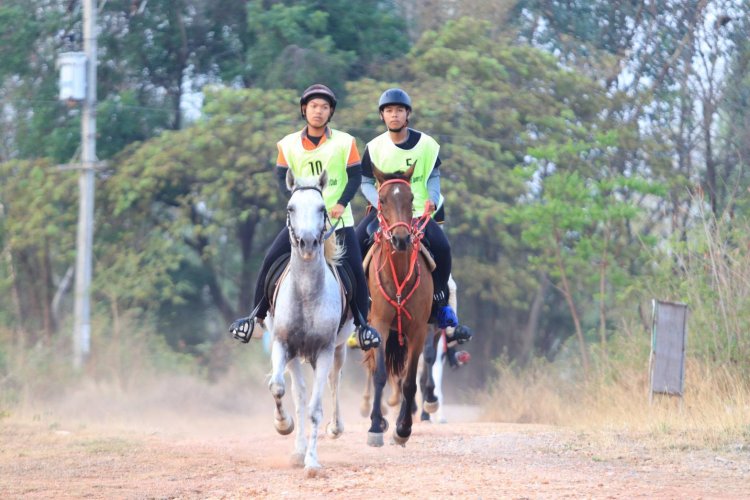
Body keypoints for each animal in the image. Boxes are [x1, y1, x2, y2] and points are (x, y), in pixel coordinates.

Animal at [266, 170, 354, 474]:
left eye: (321, 208)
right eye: (291, 208)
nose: (306, 243)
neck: (306, 293)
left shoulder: (325, 350)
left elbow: (316, 408)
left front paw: (313, 462)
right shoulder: (282, 344)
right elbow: (279, 388)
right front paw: (283, 425)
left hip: (338, 350)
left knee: (334, 381)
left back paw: (335, 429)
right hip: (295, 356)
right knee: (299, 394)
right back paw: (297, 449)